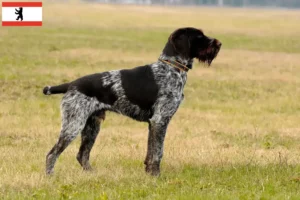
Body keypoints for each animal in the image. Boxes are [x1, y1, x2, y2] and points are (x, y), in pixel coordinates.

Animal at [43, 27, 221, 176]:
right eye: (200, 36)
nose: (219, 43)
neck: (171, 68)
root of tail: (71, 84)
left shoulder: (153, 123)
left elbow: (150, 152)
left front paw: (149, 173)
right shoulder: (160, 120)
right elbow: (157, 152)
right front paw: (156, 176)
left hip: (92, 126)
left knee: (82, 155)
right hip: (74, 124)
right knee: (52, 154)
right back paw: (50, 176)